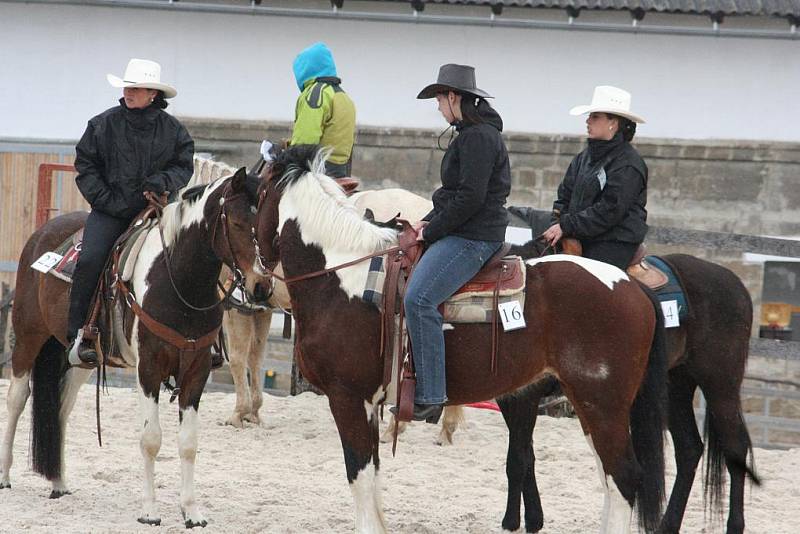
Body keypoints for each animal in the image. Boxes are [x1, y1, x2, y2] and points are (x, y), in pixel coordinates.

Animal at [0, 170, 260, 528]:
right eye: (235, 223)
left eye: (264, 221)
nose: (261, 284)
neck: (179, 281)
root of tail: (42, 234)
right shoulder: (148, 369)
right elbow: (151, 441)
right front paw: (149, 511)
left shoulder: (196, 371)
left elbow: (188, 444)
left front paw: (191, 511)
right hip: (29, 336)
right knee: (16, 399)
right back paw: (5, 476)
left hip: (80, 359)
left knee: (60, 409)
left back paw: (59, 482)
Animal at [256, 144, 668, 532]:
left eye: (257, 194)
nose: (257, 286)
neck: (342, 278)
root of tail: (631, 285)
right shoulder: (369, 403)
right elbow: (371, 475)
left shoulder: (347, 397)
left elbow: (358, 474)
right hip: (589, 405)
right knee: (609, 479)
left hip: (603, 404)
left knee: (623, 477)